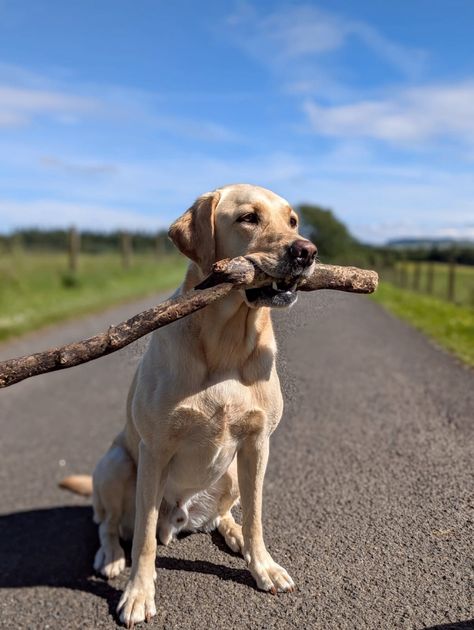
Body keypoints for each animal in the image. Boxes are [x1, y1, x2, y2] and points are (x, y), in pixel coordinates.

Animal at [65, 183, 316, 628]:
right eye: (248, 218)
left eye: (293, 221)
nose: (307, 251)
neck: (228, 340)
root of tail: (180, 517)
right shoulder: (154, 450)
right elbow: (144, 538)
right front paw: (138, 593)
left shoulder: (258, 443)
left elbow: (255, 515)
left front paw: (262, 565)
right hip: (116, 463)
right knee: (108, 524)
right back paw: (110, 556)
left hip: (230, 472)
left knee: (225, 514)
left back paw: (233, 536)